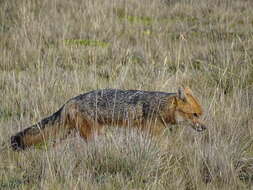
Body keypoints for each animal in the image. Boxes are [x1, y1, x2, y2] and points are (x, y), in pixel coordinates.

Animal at [10, 87, 208, 151]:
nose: (205, 128)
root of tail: (70, 101)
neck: (159, 107)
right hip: (92, 135)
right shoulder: (154, 135)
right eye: (195, 115)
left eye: (201, 114)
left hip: (67, 134)